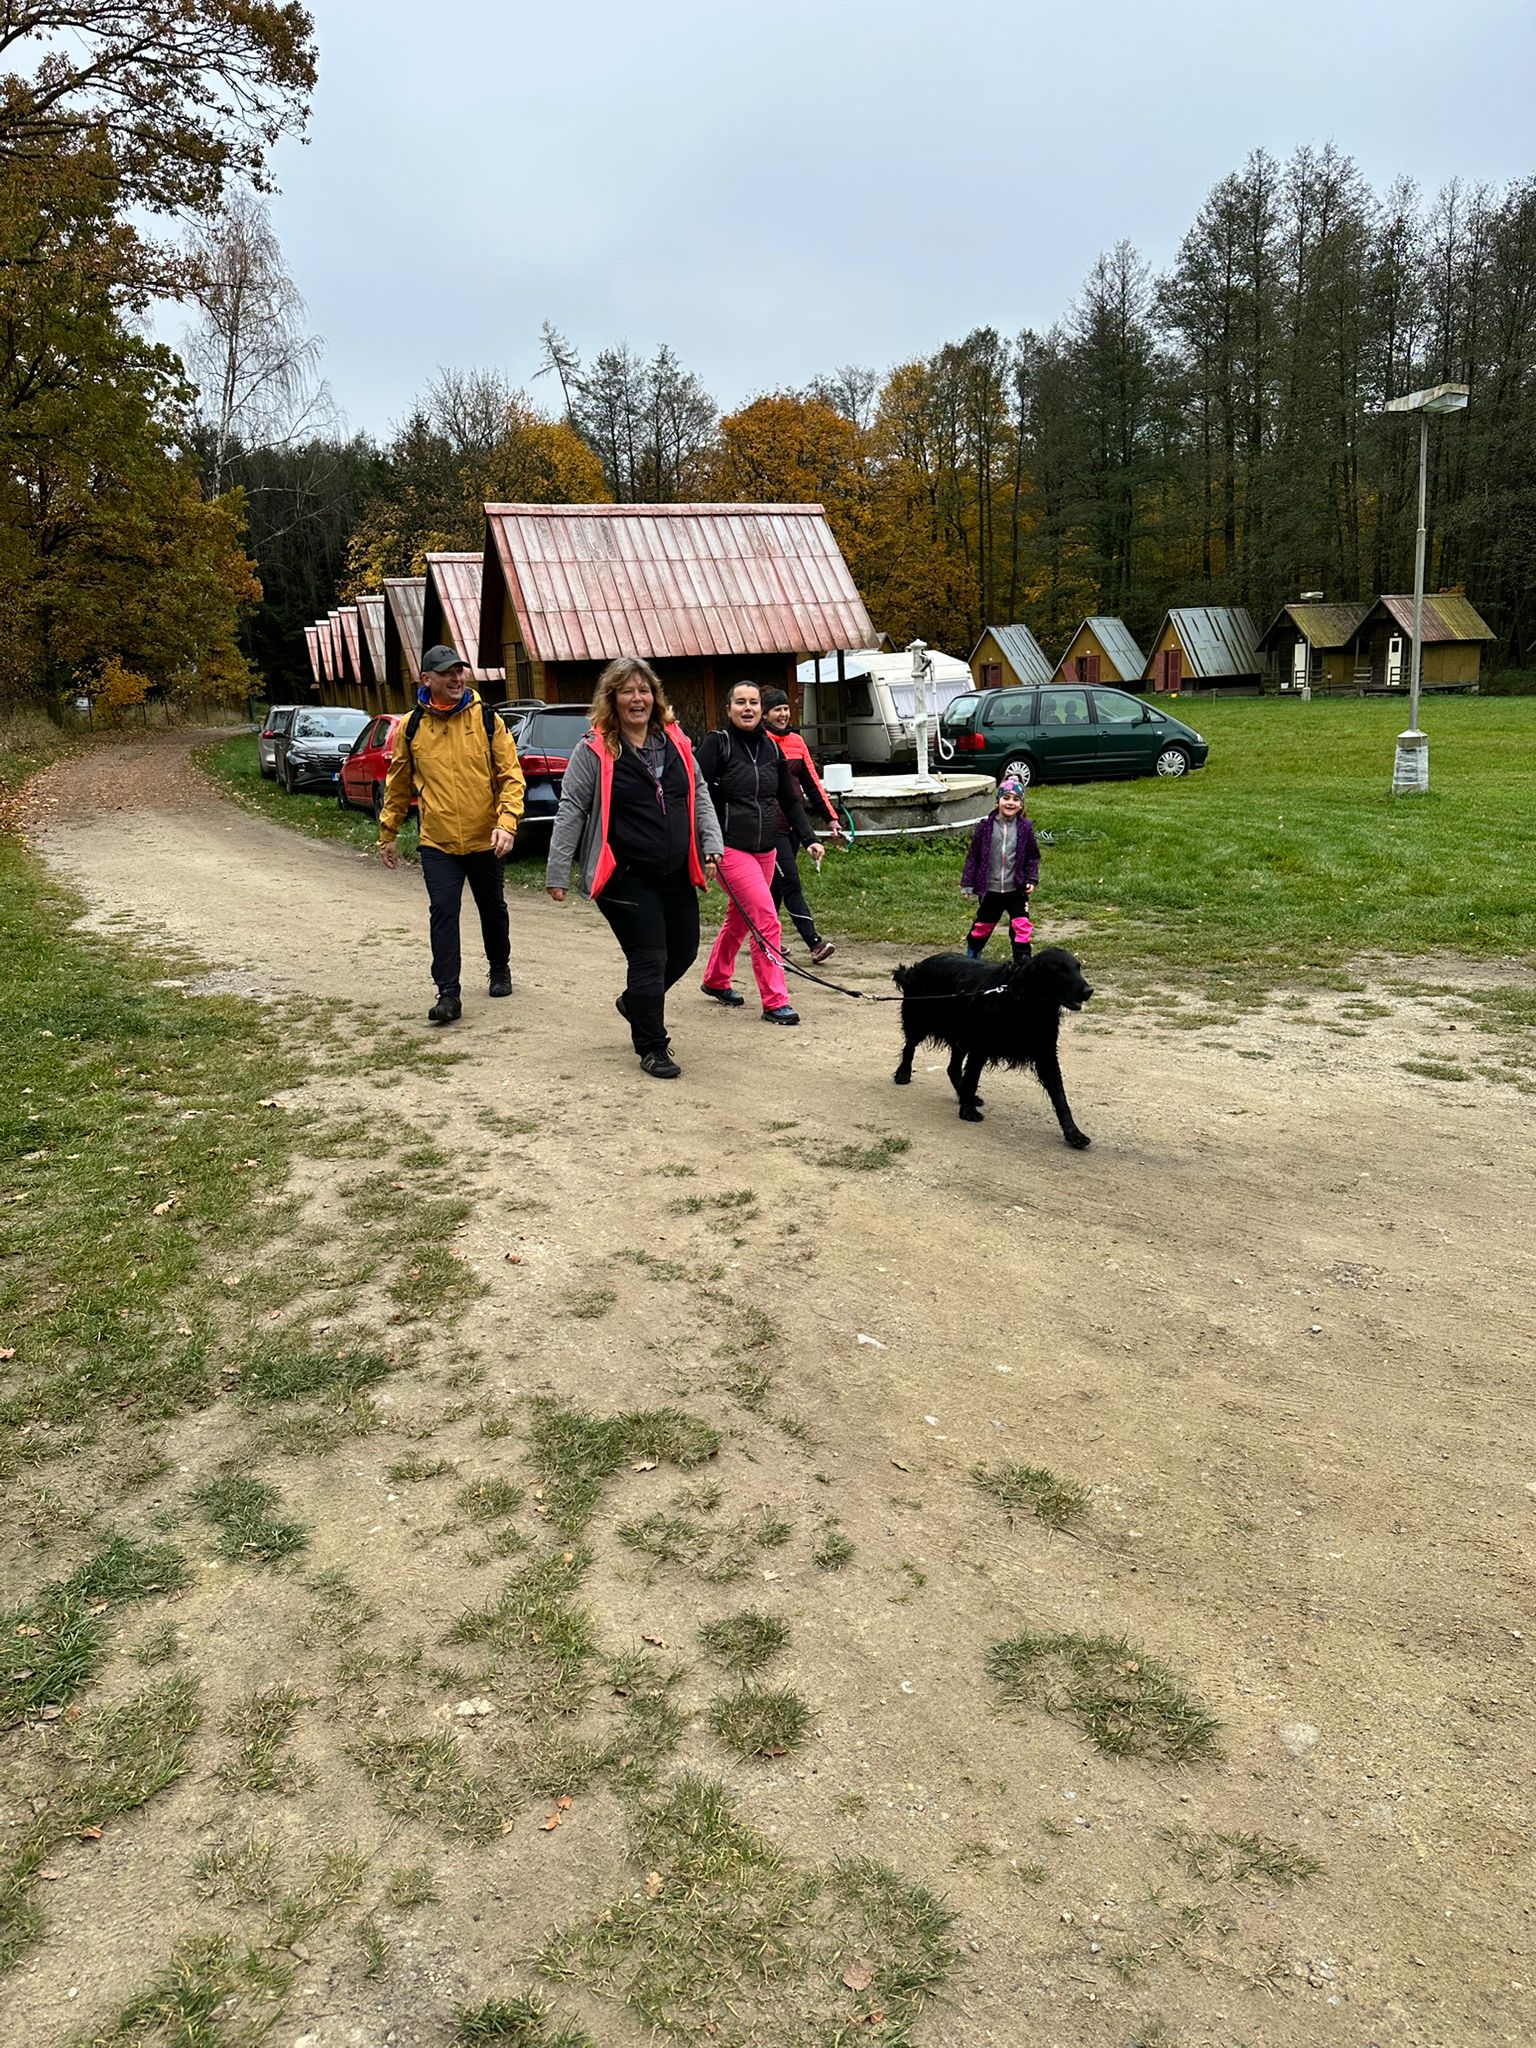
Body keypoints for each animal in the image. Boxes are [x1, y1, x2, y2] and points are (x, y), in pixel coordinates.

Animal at [891, 946, 1094, 1147]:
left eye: (1078, 968)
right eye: (1060, 970)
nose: (1089, 990)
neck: (1025, 1003)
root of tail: (917, 967)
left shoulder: (1046, 1054)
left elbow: (1060, 1098)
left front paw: (1073, 1133)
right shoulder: (980, 1047)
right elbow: (972, 1079)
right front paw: (968, 1111)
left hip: (960, 1035)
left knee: (952, 1068)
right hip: (918, 1021)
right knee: (910, 1047)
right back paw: (903, 1074)